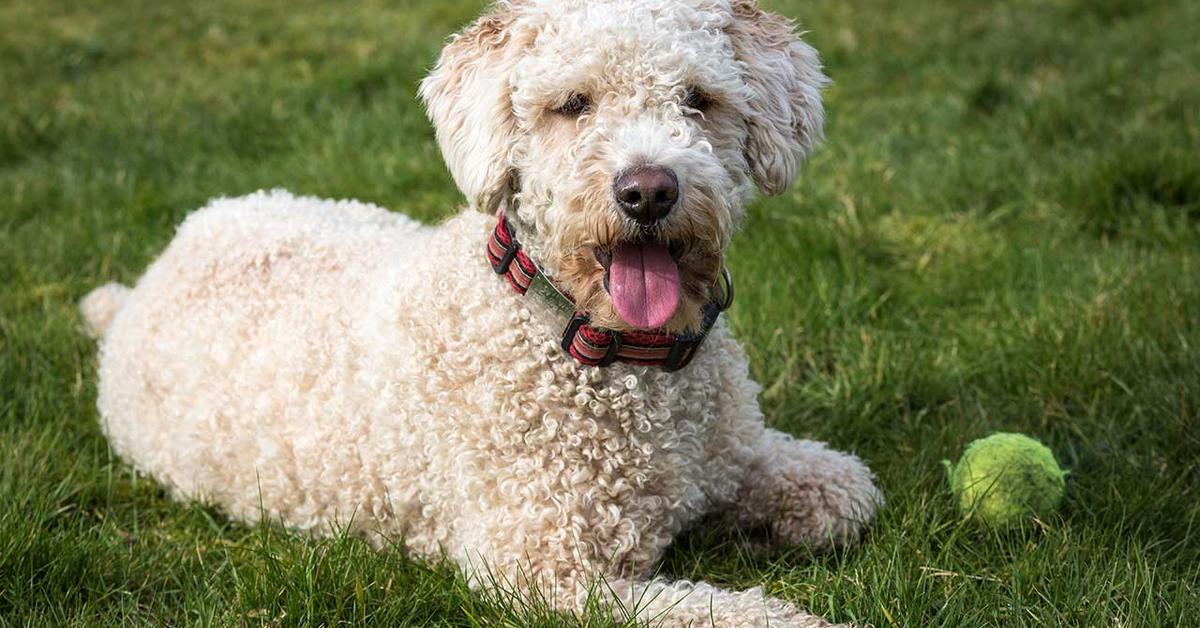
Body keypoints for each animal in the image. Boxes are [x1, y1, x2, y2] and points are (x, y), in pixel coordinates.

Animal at [77, 0, 883, 624]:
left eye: (698, 100)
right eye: (573, 104)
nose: (648, 191)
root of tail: (151, 274)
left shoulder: (735, 456)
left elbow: (847, 490)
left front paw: (756, 530)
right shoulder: (544, 570)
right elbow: (719, 612)